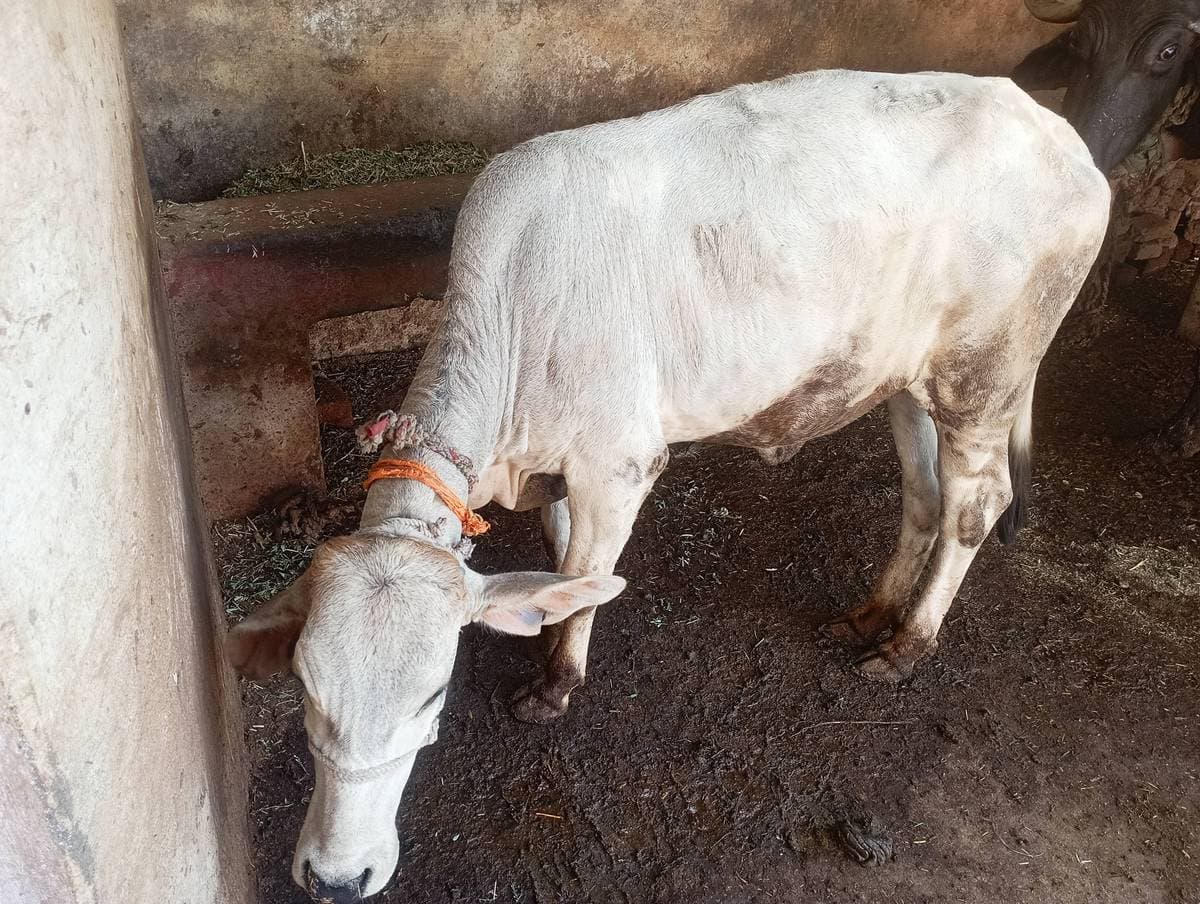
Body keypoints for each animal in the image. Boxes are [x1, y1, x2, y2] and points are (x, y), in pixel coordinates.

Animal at [225, 70, 1110, 900]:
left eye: (432, 697)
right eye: (304, 688)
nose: (338, 878)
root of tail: (1055, 129)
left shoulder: (619, 464)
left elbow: (589, 575)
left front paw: (555, 686)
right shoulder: (559, 470)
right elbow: (561, 563)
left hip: (985, 377)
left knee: (973, 507)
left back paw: (906, 645)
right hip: (903, 378)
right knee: (922, 494)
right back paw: (870, 614)